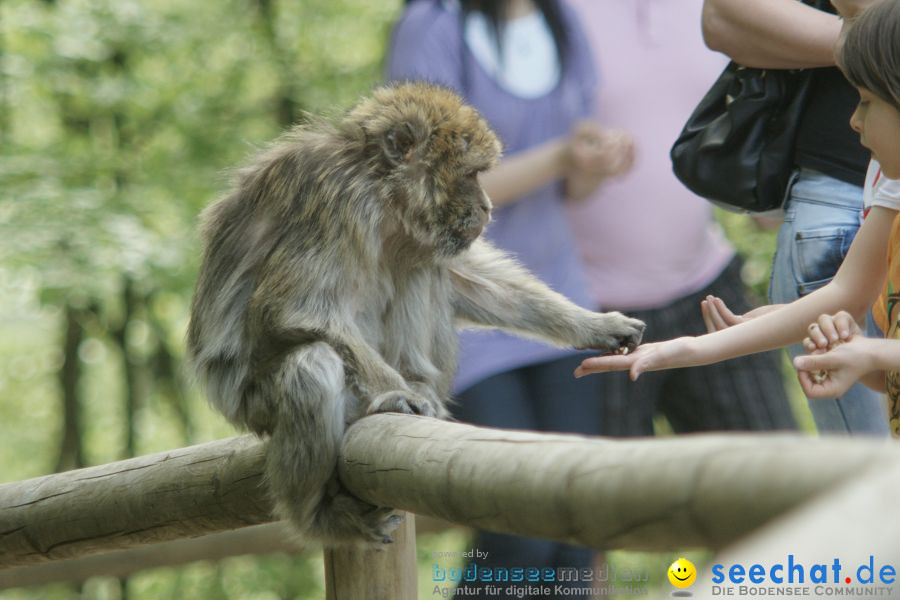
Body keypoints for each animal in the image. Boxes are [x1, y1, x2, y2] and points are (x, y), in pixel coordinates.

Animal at [186, 82, 644, 548]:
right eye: (472, 174)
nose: (487, 207)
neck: (379, 190)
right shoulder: (336, 202)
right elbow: (288, 308)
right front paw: (395, 392)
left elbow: (463, 280)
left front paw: (594, 325)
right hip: (257, 404)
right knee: (313, 365)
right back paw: (319, 516)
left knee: (420, 261)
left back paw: (419, 378)